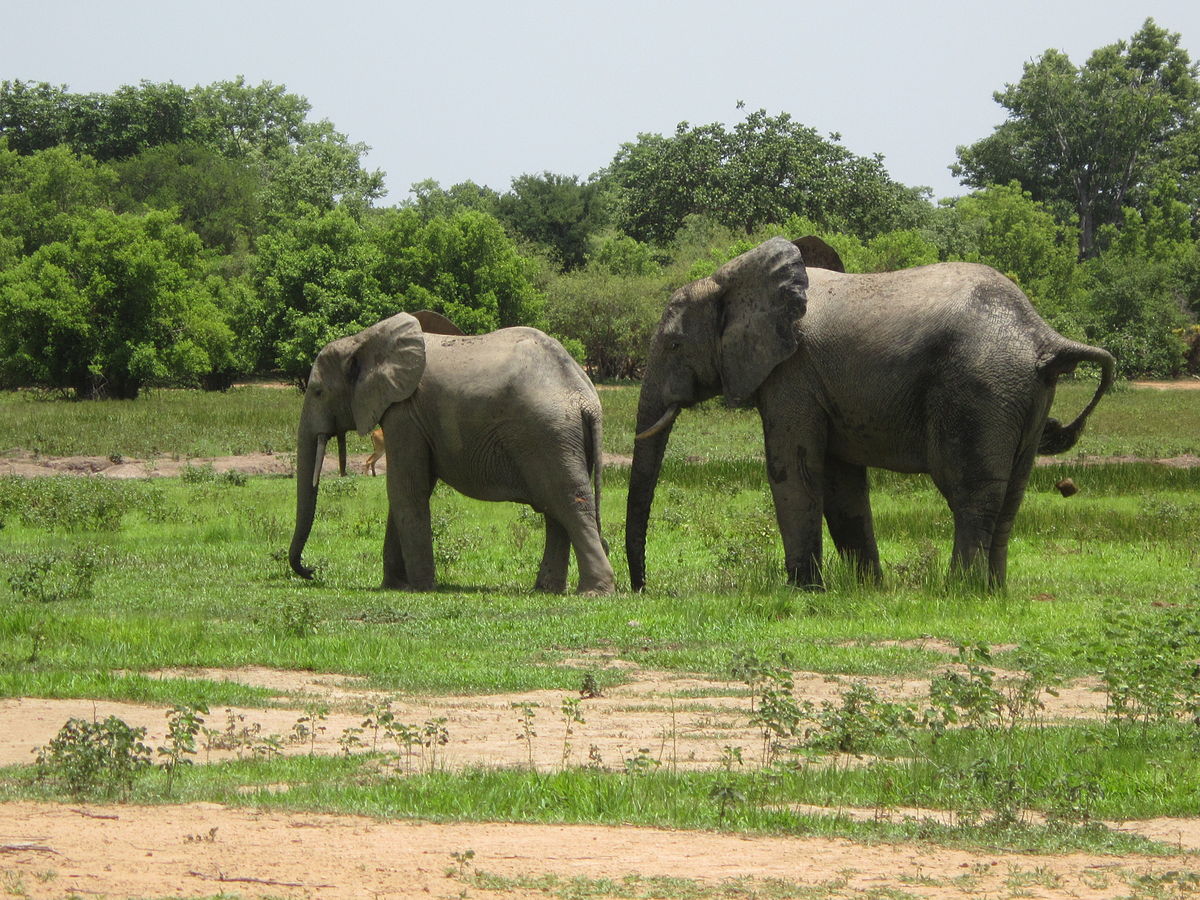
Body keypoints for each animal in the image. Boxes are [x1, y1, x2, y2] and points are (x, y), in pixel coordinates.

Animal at [285, 314, 614, 595]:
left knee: (569, 502)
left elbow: (406, 489)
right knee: (555, 509)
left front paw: (419, 589)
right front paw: (394, 586)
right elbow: (407, 490)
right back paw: (546, 590)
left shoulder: (404, 412)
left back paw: (593, 593)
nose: (311, 571)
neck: (363, 339)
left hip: (547, 433)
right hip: (559, 439)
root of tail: (585, 397)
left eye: (317, 391)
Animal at [628, 237, 1113, 592]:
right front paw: (868, 590)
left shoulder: (792, 374)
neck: (729, 280)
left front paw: (804, 593)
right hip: (1024, 395)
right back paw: (993, 592)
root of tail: (1042, 335)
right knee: (1011, 495)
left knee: (971, 492)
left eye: (674, 344)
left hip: (981, 388)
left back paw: (960, 592)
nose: (642, 588)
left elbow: (794, 470)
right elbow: (840, 485)